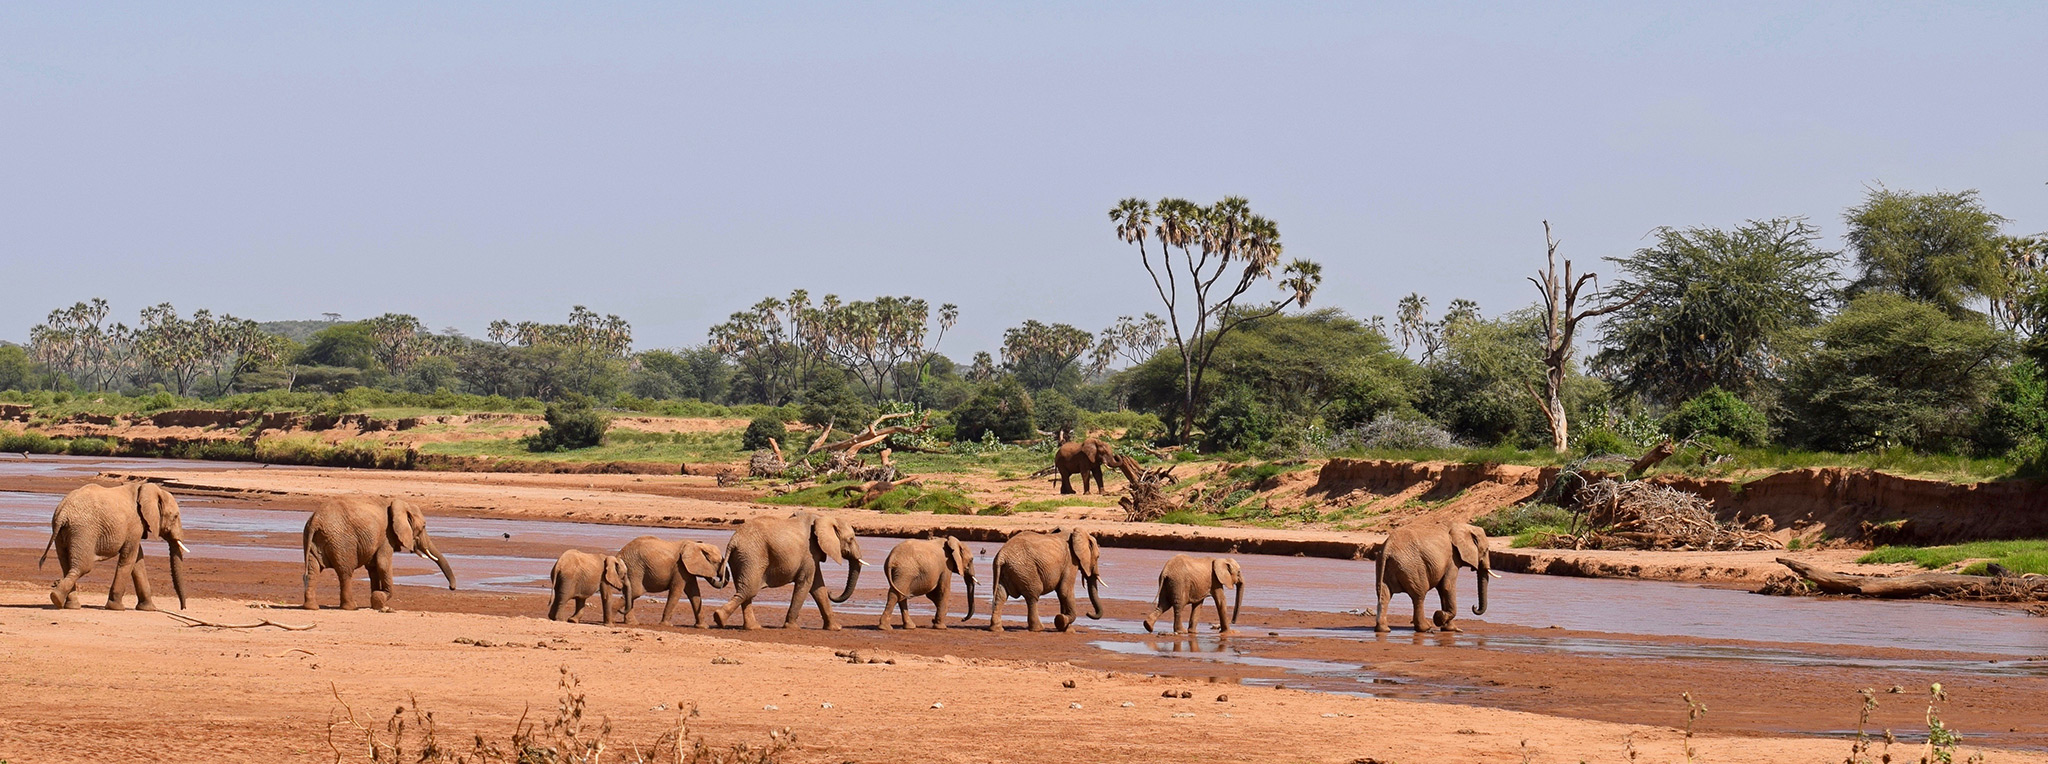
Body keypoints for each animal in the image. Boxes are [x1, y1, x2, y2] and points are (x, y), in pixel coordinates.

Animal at [39, 482, 190, 611]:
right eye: (175, 516)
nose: (182, 608)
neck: (146, 488)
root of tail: (63, 512)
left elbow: (138, 561)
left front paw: (149, 609)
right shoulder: (135, 523)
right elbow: (129, 559)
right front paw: (116, 607)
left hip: (63, 533)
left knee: (66, 565)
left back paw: (68, 604)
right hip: (83, 531)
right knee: (83, 567)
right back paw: (57, 599)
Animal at [300, 496, 457, 611]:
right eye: (423, 526)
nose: (452, 588)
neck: (398, 503)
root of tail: (316, 520)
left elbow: (373, 567)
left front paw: (375, 603)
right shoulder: (386, 536)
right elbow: (383, 564)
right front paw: (381, 600)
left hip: (311, 538)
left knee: (313, 570)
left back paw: (311, 607)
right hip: (341, 541)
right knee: (345, 572)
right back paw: (351, 607)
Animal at [709, 512, 863, 630]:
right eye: (850, 539)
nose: (832, 593)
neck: (822, 517)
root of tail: (733, 541)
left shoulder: (812, 555)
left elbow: (818, 587)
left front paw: (836, 628)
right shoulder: (809, 553)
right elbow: (806, 583)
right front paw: (792, 627)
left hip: (742, 558)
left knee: (745, 591)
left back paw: (751, 627)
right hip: (751, 556)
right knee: (749, 590)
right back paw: (720, 618)